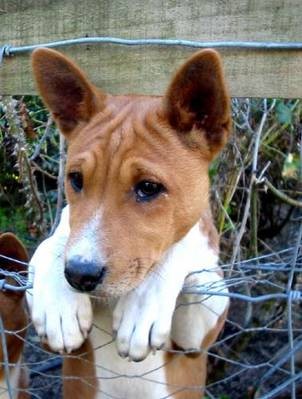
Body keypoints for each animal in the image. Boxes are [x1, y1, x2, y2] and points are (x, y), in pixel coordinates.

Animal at [28, 47, 231, 399]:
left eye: (148, 188)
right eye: (76, 179)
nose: (79, 275)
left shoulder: (196, 340)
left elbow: (184, 247)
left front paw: (142, 307)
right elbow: (54, 239)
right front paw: (58, 305)